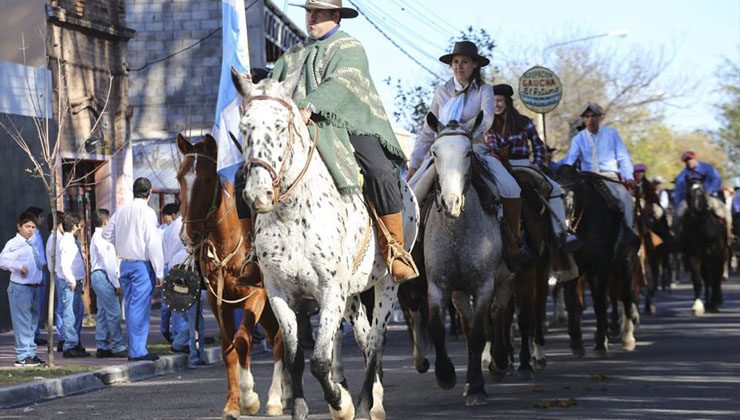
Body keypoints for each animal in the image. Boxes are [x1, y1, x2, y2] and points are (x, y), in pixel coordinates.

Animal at [176, 134, 286, 416]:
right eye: (179, 177)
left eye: (207, 179)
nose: (189, 235)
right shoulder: (218, 302)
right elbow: (228, 348)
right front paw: (233, 403)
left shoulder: (255, 295)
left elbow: (243, 340)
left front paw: (250, 398)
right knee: (275, 335)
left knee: (282, 337)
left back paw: (275, 399)